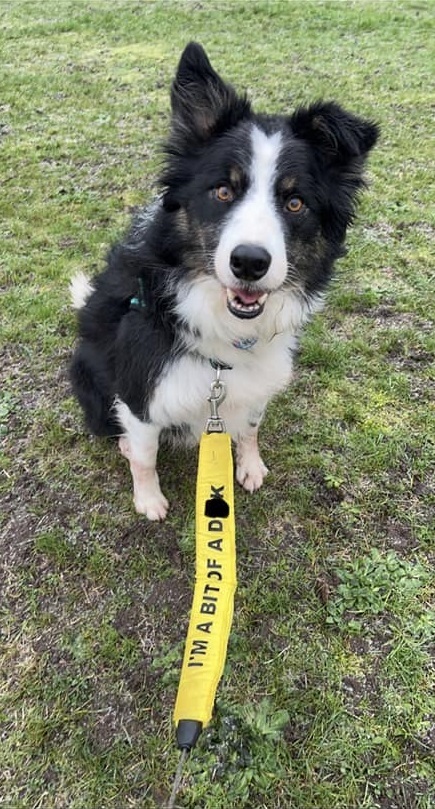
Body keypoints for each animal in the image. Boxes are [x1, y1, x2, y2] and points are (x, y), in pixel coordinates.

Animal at [70, 42, 380, 516]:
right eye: (222, 191)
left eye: (294, 202)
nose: (249, 262)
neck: (224, 330)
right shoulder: (143, 388)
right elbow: (144, 454)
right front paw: (149, 499)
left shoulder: (253, 385)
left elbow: (249, 428)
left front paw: (249, 466)